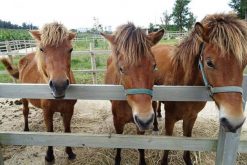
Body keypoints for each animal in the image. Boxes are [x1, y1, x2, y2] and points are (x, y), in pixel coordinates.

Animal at [1, 21, 76, 162]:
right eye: (42, 49)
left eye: (70, 49)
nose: (59, 85)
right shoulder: (47, 112)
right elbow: (50, 132)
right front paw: (49, 156)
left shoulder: (69, 110)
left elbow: (68, 130)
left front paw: (70, 153)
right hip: (24, 98)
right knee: (25, 111)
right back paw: (26, 129)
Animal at [101, 22, 165, 165]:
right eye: (121, 68)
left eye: (154, 66)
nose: (145, 120)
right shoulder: (117, 122)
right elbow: (119, 144)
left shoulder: (140, 126)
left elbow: (140, 148)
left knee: (154, 105)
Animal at [152, 13, 247, 164]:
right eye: (209, 63)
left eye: (244, 62)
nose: (234, 122)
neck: (183, 88)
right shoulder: (170, 119)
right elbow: (167, 147)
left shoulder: (191, 117)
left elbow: (187, 145)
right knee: (154, 105)